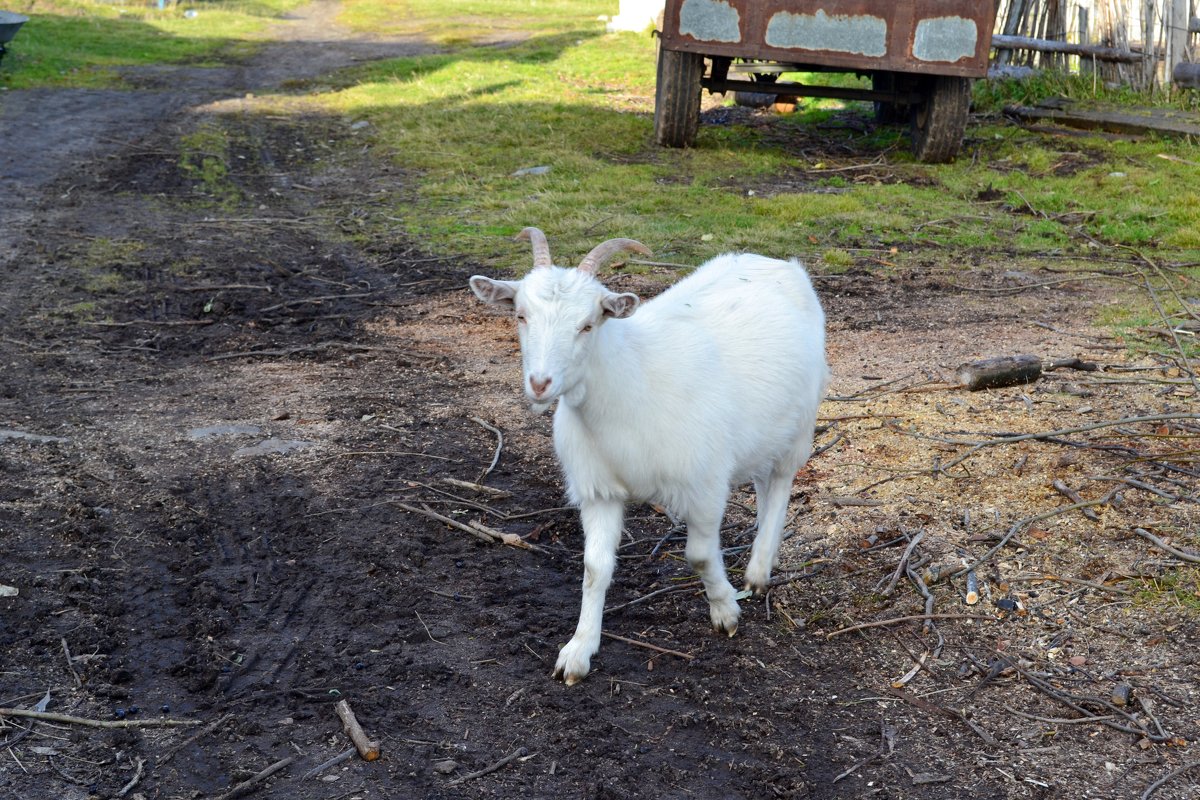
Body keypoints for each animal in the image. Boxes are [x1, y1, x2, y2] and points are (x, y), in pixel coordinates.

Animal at [468, 227, 825, 686]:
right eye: (520, 316)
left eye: (588, 324)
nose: (540, 384)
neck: (631, 378)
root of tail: (777, 262)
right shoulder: (598, 490)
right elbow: (594, 568)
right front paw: (578, 651)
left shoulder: (704, 482)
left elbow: (699, 555)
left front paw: (726, 611)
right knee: (764, 484)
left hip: (800, 420)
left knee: (780, 483)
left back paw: (759, 570)